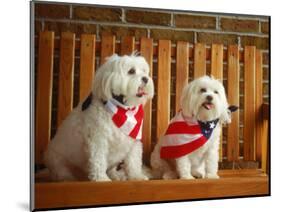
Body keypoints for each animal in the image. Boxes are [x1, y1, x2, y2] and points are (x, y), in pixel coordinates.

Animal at [43, 53, 153, 181]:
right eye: (131, 71)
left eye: (144, 71)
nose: (145, 79)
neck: (123, 108)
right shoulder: (98, 138)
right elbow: (98, 159)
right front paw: (101, 178)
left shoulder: (133, 139)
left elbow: (133, 160)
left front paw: (136, 176)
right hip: (57, 161)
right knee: (62, 172)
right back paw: (68, 178)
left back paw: (116, 175)